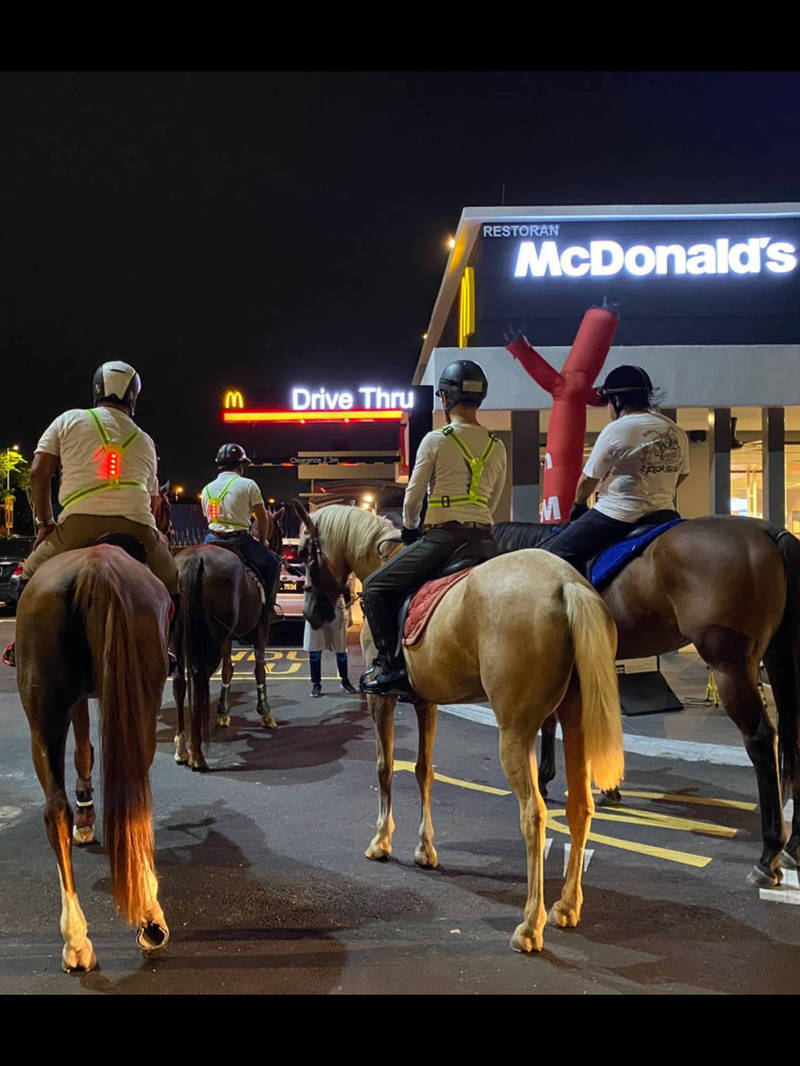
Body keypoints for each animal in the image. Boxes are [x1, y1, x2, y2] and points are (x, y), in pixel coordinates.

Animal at [16, 545, 172, 972]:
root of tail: (95, 565)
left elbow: (83, 748)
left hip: (44, 711)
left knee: (55, 809)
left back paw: (76, 939)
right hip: (138, 702)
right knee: (133, 800)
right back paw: (149, 917)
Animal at [296, 501, 627, 959]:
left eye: (307, 552)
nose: (313, 613)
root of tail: (566, 585)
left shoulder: (381, 699)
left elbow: (385, 768)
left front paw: (381, 841)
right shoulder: (426, 702)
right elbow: (423, 771)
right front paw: (424, 849)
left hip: (516, 733)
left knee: (534, 814)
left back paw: (530, 924)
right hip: (574, 722)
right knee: (580, 807)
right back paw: (566, 906)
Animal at [492, 515, 800, 891]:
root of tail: (769, 532)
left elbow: (551, 719)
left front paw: (549, 775)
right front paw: (609, 786)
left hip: (731, 665)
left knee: (760, 740)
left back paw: (768, 855)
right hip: (779, 656)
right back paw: (793, 847)